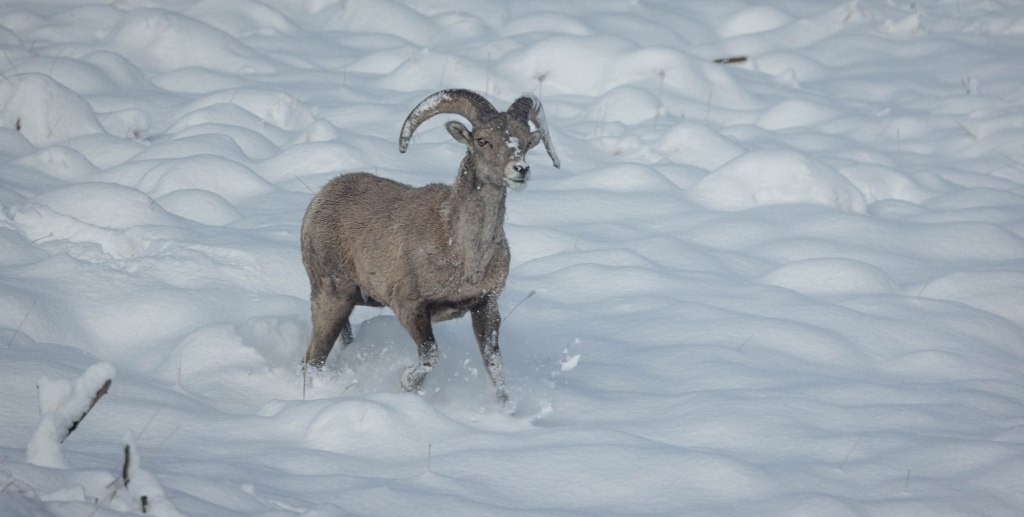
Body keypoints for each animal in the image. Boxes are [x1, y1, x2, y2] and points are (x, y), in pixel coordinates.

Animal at [300, 89, 560, 403]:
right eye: (482, 140)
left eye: (524, 141)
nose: (520, 170)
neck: (463, 255)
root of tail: (320, 199)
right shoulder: (410, 308)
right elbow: (430, 355)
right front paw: (406, 383)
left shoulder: (485, 306)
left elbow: (494, 364)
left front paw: (506, 407)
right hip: (332, 297)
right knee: (312, 359)